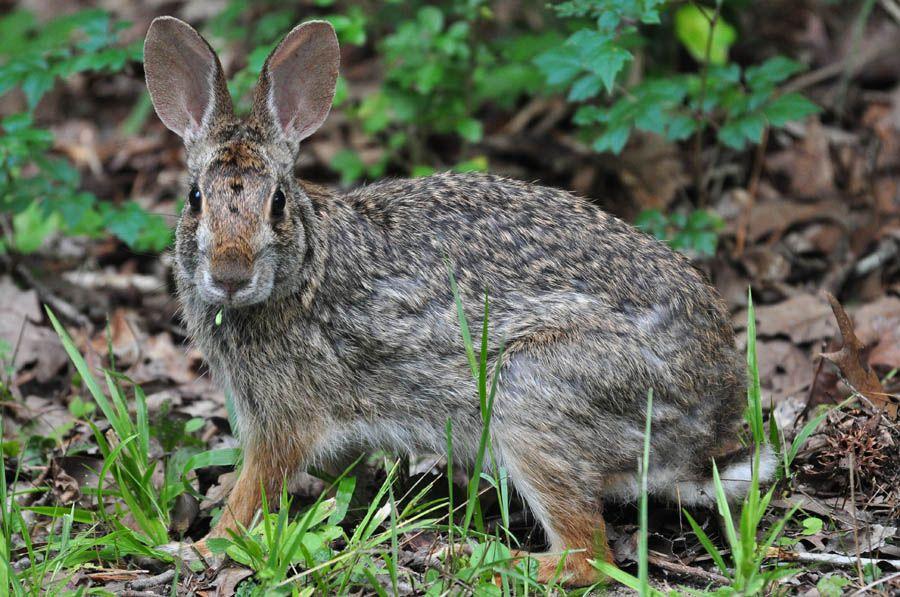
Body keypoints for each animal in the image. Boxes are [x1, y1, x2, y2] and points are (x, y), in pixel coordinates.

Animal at [144, 16, 776, 584]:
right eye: (195, 199)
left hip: (531, 395)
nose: (229, 274)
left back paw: (480, 560)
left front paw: (203, 546)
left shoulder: (285, 416)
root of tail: (708, 424)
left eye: (276, 202)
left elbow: (259, 486)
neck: (301, 268)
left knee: (587, 558)